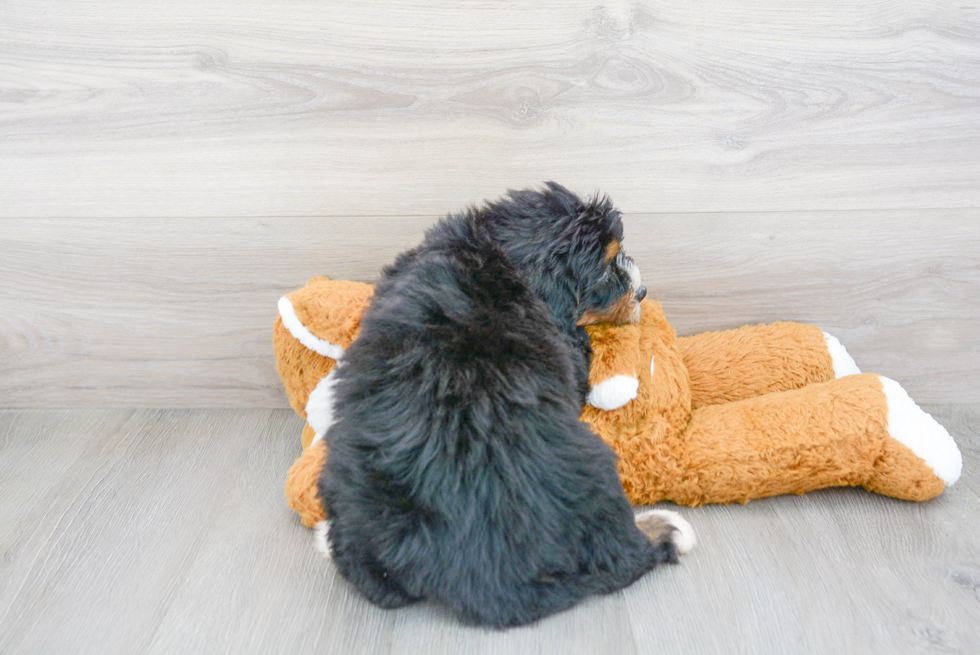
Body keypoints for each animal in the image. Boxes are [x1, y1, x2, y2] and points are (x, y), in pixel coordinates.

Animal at [318, 182, 692, 628]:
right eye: (605, 271)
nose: (642, 291)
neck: (495, 252)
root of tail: (480, 576)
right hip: (597, 472)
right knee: (624, 555)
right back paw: (668, 529)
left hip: (347, 489)